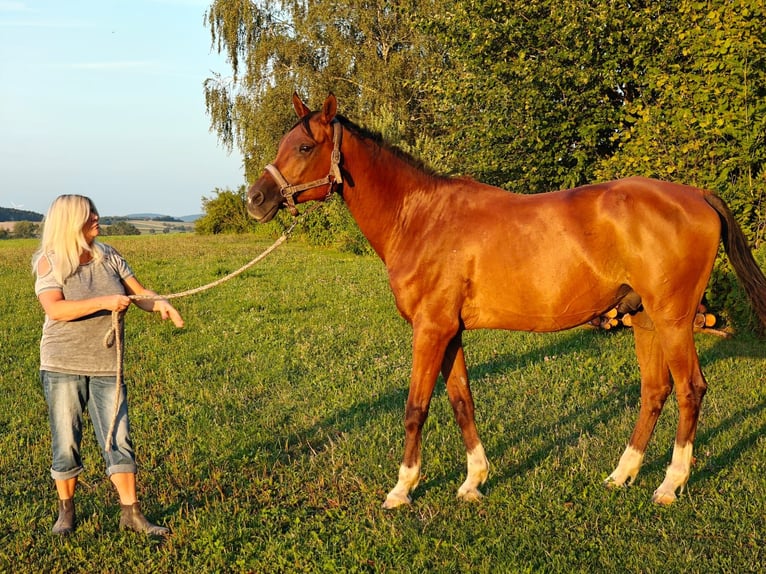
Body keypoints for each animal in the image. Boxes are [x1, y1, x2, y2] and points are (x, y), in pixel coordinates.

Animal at [246, 92, 766, 510]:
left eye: (305, 147)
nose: (255, 199)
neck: (420, 217)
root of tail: (696, 194)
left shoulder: (430, 329)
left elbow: (416, 408)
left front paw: (402, 489)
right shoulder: (449, 330)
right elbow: (461, 401)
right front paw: (473, 482)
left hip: (673, 319)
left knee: (690, 390)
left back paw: (669, 485)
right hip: (643, 319)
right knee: (654, 392)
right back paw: (622, 475)